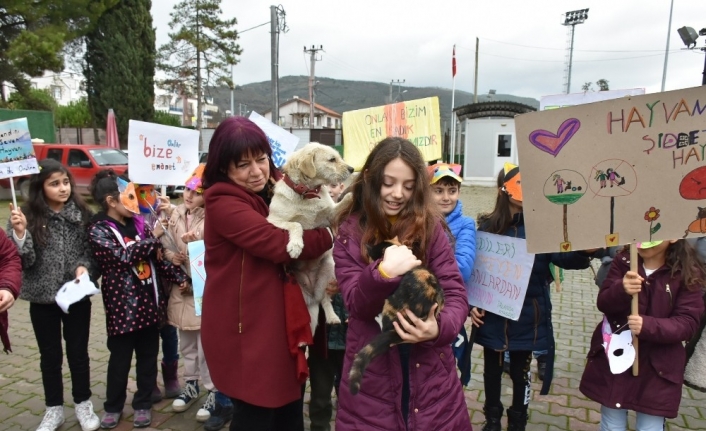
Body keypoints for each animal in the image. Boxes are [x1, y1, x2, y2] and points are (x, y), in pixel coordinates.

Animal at [266, 143, 352, 332]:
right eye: (332, 159)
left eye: (338, 156)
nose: (352, 169)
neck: (308, 193)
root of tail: (312, 295)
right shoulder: (273, 221)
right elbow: (297, 224)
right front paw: (296, 246)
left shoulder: (331, 215)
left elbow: (345, 200)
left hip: (329, 270)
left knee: (325, 299)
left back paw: (332, 317)